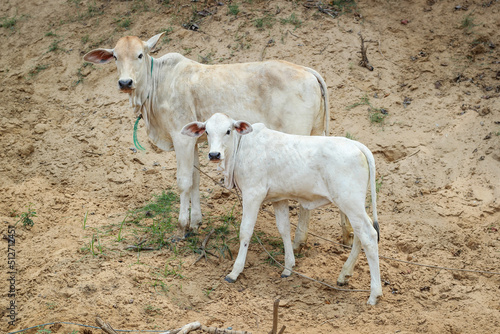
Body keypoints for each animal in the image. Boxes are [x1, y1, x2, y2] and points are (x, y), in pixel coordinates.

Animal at [83, 33, 332, 237]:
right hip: (316, 132)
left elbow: (183, 181)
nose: (125, 82)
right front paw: (195, 222)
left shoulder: (181, 138)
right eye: (115, 57)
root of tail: (307, 71)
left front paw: (182, 225)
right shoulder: (192, 139)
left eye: (140, 55)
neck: (156, 86)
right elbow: (195, 180)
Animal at [182, 113, 380, 306]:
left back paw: (374, 294)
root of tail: (355, 144)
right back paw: (344, 275)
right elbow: (284, 229)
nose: (214, 154)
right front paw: (288, 268)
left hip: (350, 202)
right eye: (207, 132)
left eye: (228, 131)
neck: (241, 148)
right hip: (353, 206)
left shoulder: (253, 194)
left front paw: (234, 272)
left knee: (370, 235)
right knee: (362, 233)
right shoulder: (280, 199)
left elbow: (245, 232)